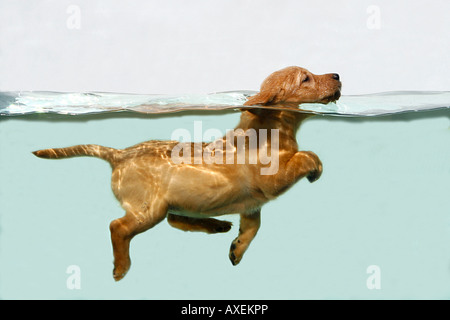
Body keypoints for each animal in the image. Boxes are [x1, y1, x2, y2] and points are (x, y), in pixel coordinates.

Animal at [32, 66, 342, 282]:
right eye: (306, 79)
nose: (338, 75)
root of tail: (119, 154)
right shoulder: (272, 180)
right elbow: (305, 156)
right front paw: (315, 167)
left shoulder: (253, 204)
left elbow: (253, 227)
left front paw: (237, 248)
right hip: (149, 209)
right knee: (118, 227)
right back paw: (121, 267)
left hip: (175, 202)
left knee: (175, 220)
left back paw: (217, 226)